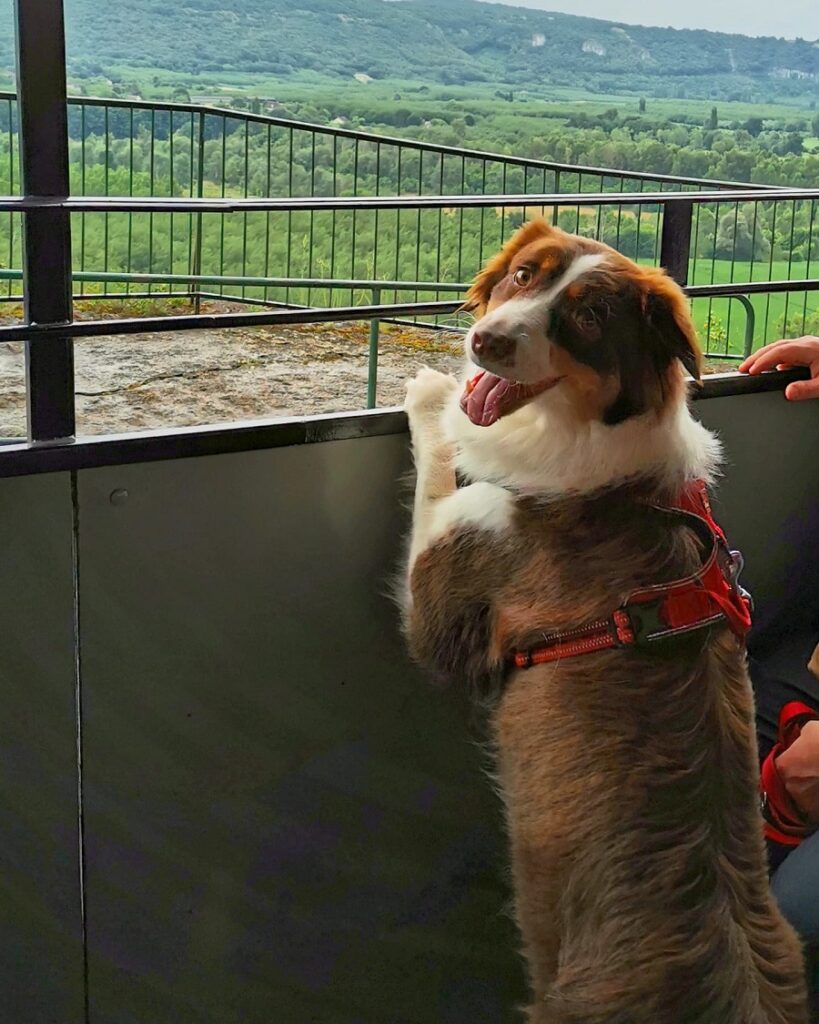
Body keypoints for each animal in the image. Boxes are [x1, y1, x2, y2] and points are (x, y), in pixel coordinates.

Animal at [399, 220, 810, 1019]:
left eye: (587, 318)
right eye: (524, 274)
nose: (485, 342)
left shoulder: (453, 577)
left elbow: (439, 468)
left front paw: (432, 396)